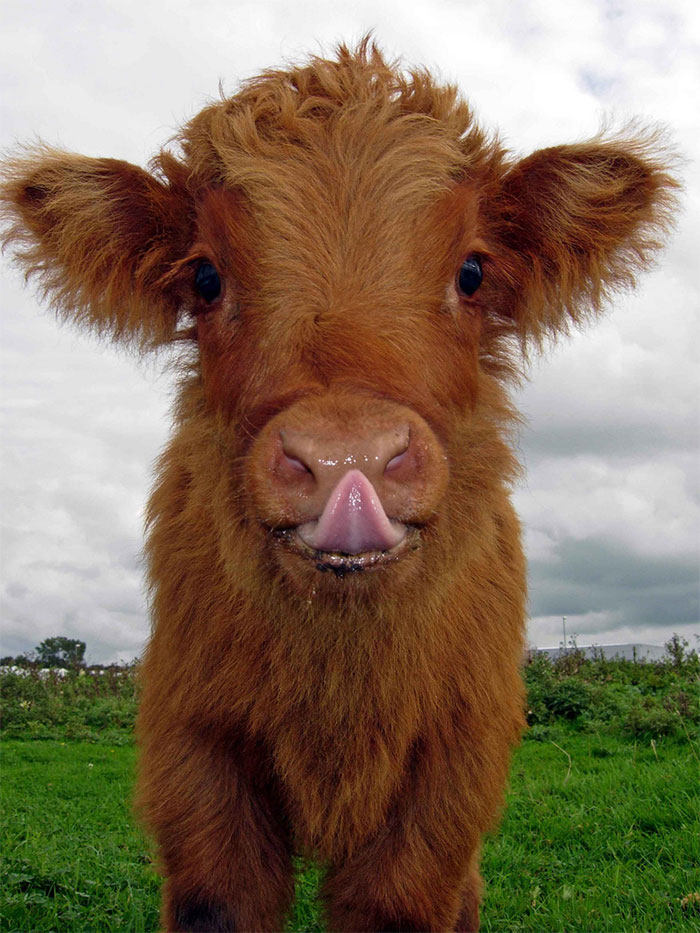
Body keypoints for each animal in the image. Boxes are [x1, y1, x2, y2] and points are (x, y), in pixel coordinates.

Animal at [1, 40, 680, 928]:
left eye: (472, 270)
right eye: (207, 278)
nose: (345, 457)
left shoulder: (449, 776)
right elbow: (220, 898)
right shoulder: (195, 756)